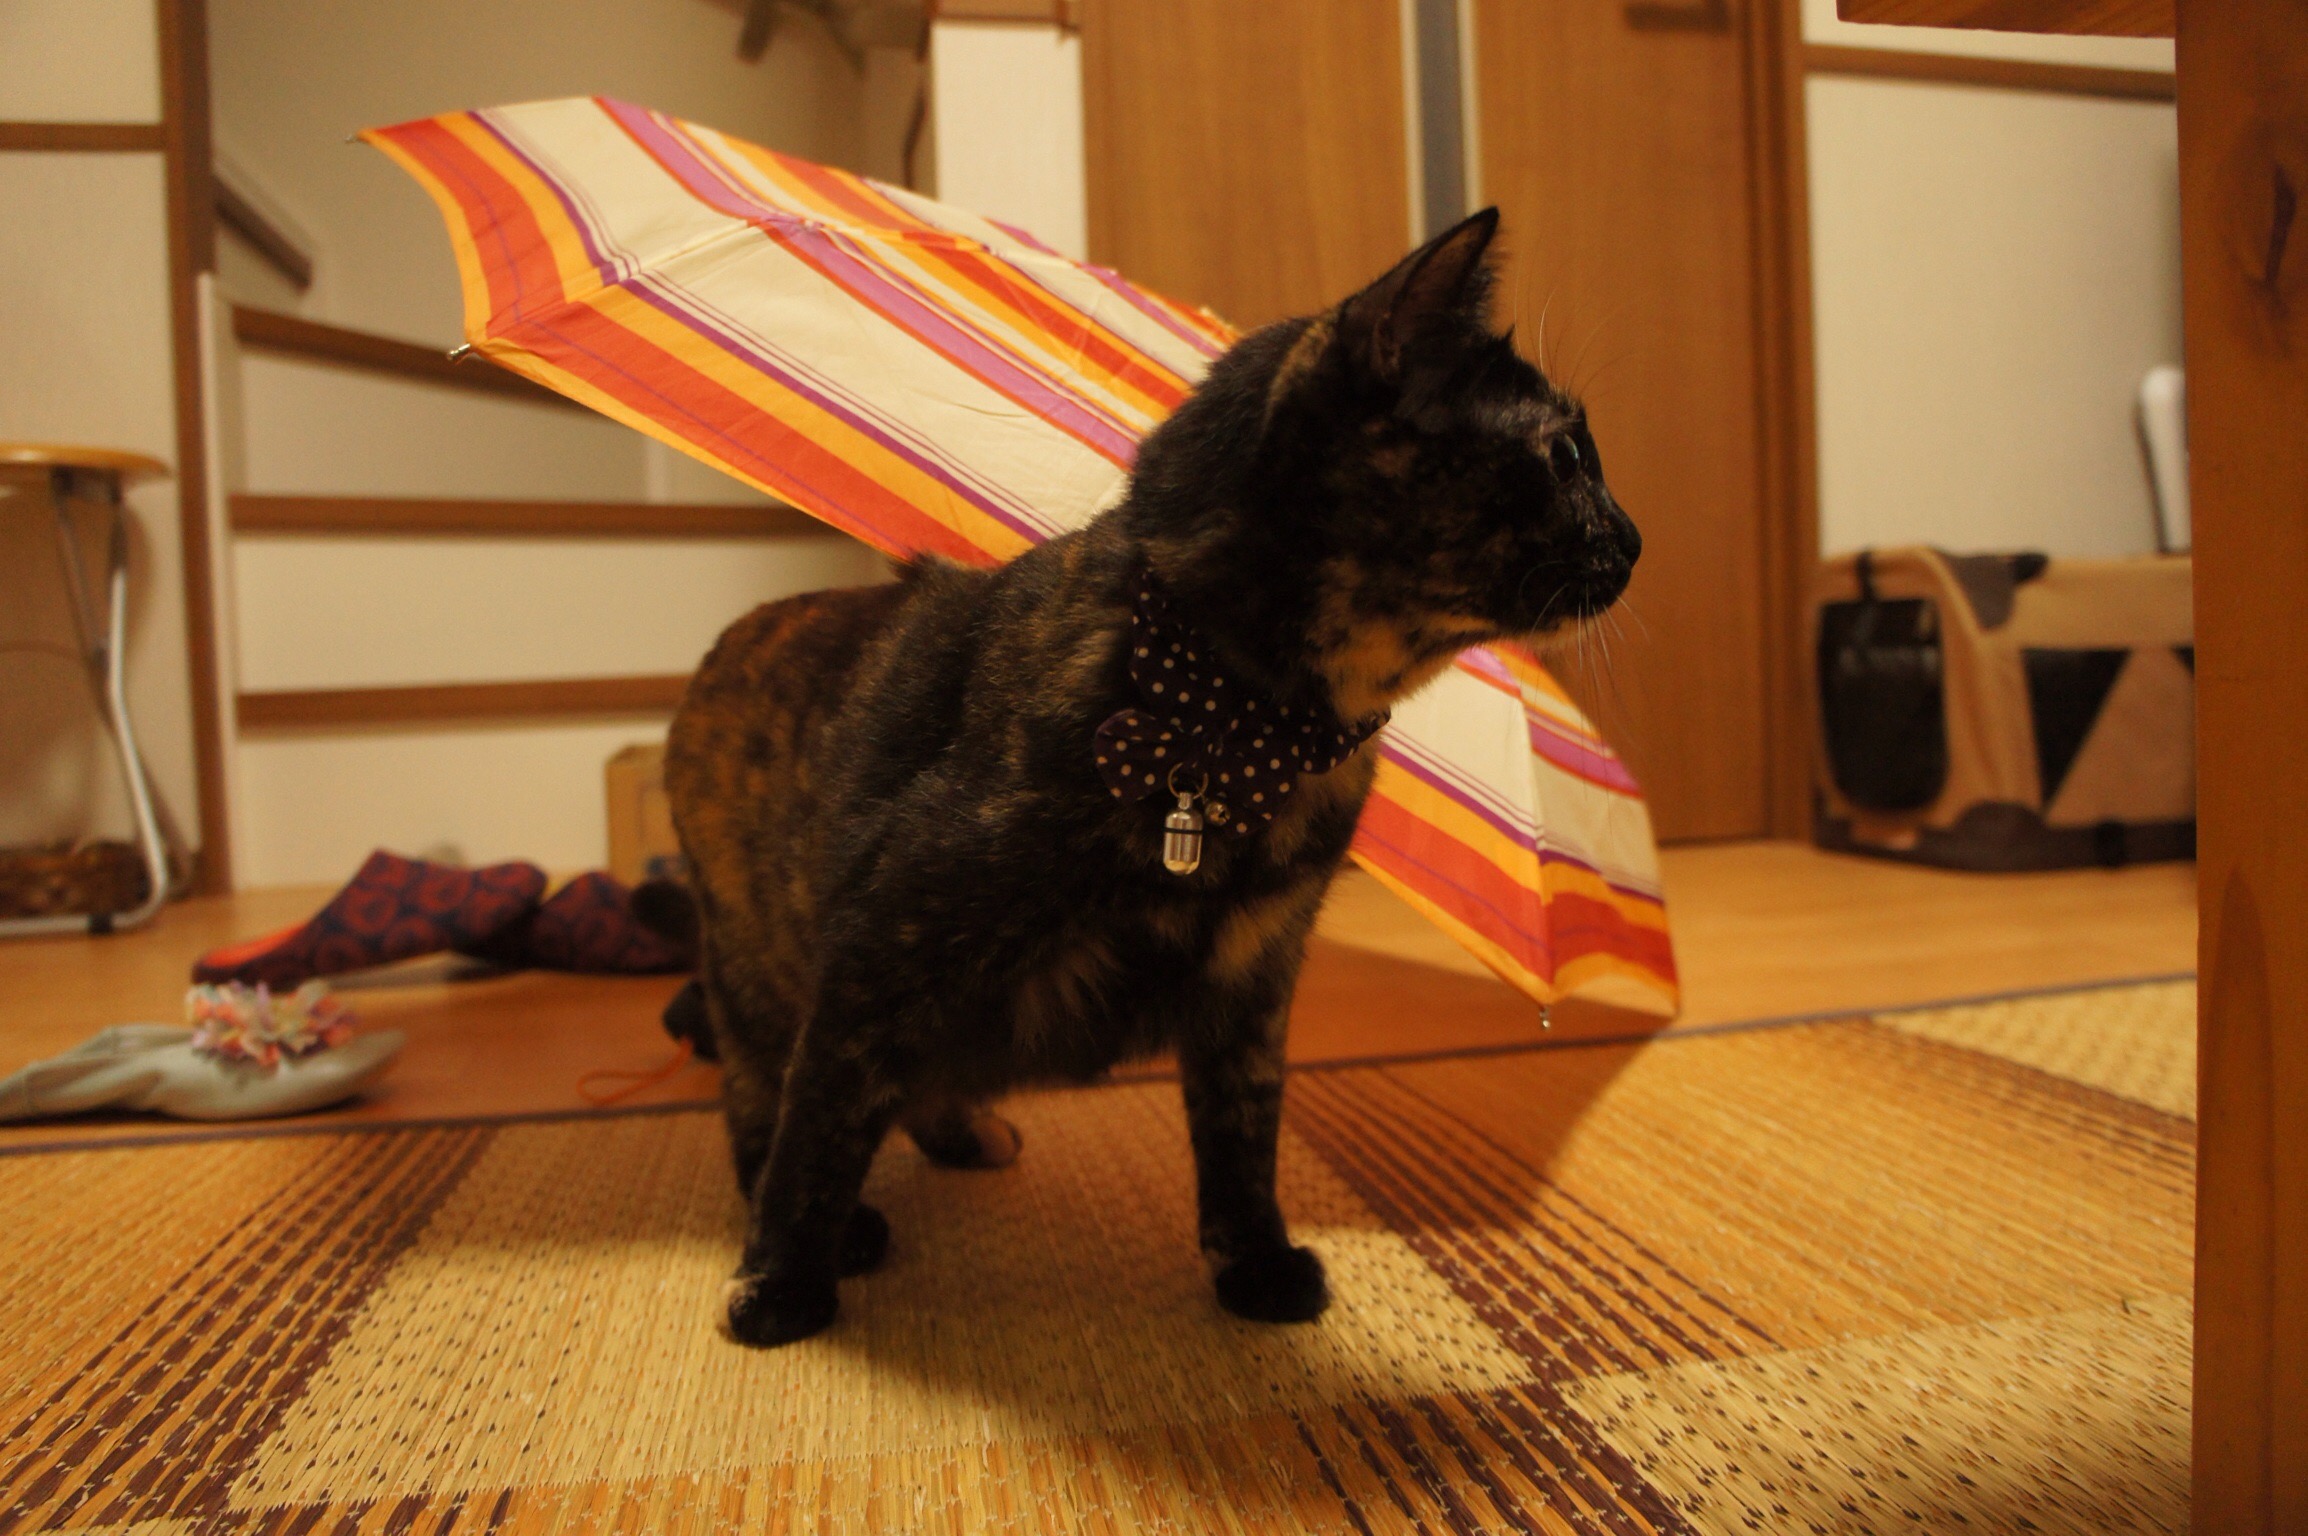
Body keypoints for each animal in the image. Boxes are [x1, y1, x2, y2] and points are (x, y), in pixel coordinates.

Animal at [652, 209, 1640, 1348]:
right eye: (1564, 454)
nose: (1634, 541)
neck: (1244, 720)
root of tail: (725, 645)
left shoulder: (1253, 977)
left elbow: (1242, 1130)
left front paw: (1256, 1268)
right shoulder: (875, 949)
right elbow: (819, 1122)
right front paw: (780, 1283)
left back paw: (964, 1134)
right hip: (756, 970)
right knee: (763, 1098)